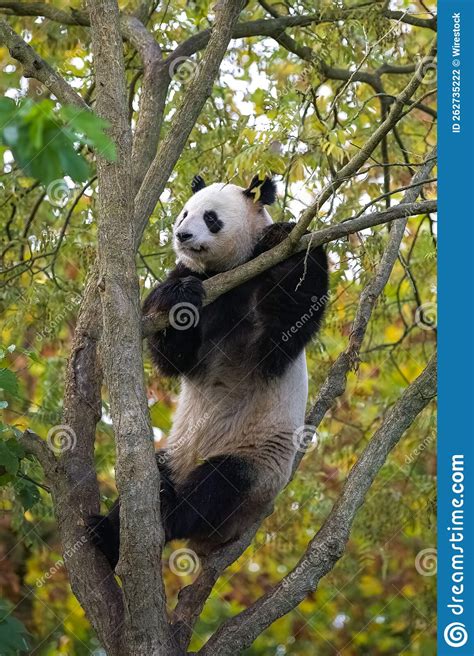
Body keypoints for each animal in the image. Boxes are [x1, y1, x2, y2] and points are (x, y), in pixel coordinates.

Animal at [87, 174, 328, 568]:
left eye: (211, 218)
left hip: (257, 463)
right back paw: (106, 534)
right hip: (176, 453)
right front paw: (179, 295)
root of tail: (212, 542)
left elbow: (283, 326)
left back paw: (171, 513)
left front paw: (285, 238)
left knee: (217, 488)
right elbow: (174, 356)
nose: (182, 235)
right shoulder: (196, 283)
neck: (226, 270)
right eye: (185, 213)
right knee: (152, 476)